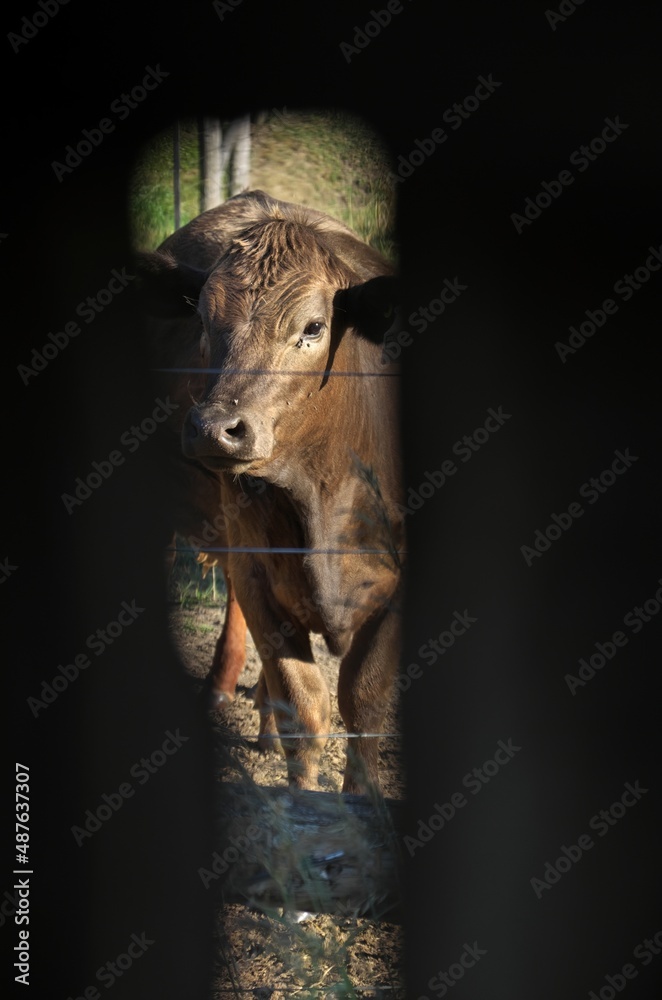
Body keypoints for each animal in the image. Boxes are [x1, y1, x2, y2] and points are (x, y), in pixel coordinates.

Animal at [139, 190, 404, 793]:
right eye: (202, 320)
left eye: (313, 326)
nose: (215, 427)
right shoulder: (258, 567)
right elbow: (306, 709)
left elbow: (365, 703)